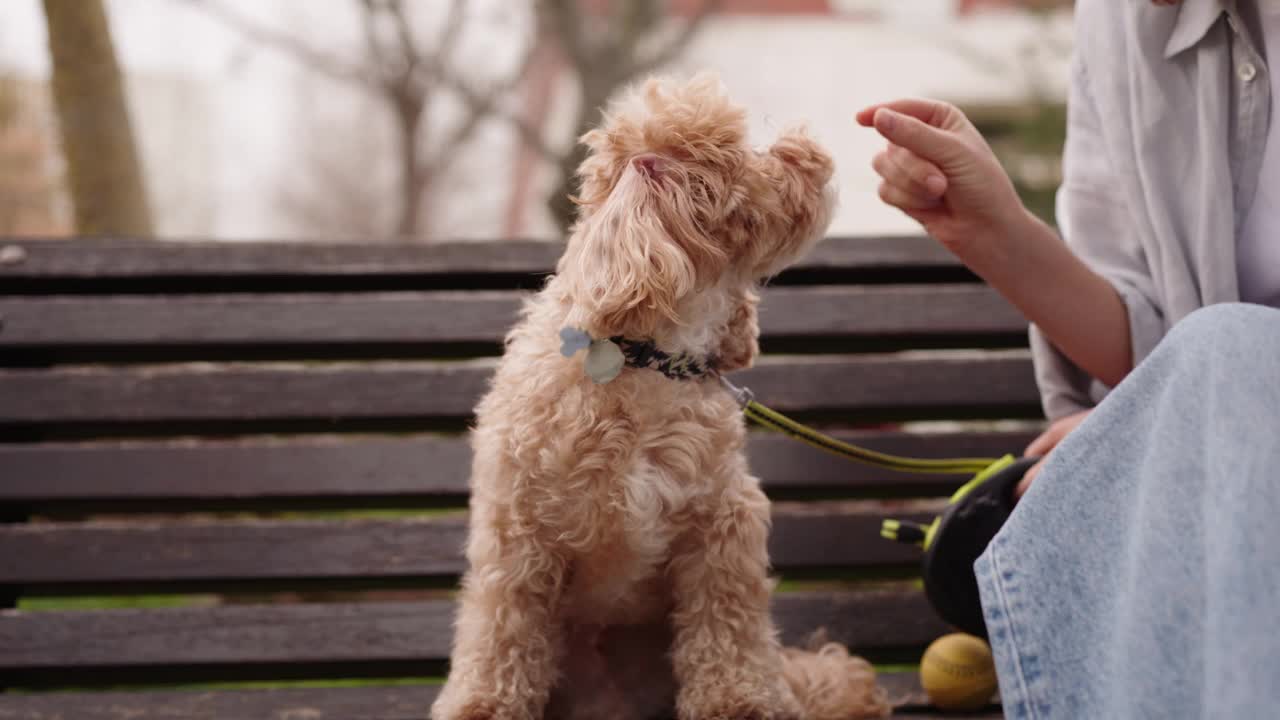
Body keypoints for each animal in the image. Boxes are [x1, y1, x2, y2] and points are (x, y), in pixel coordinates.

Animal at [430, 74, 890, 717]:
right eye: (742, 154)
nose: (808, 149)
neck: (646, 361)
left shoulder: (723, 526)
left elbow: (728, 631)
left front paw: (738, 704)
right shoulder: (518, 532)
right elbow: (503, 632)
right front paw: (483, 706)